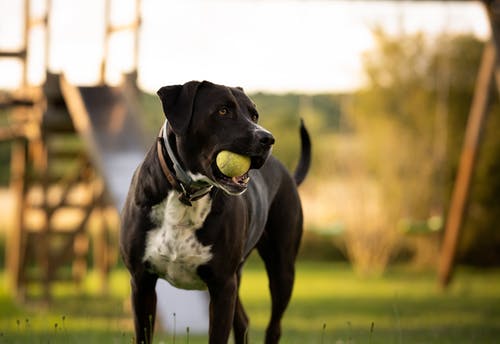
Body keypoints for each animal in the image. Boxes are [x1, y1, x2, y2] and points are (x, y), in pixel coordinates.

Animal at [120, 81, 308, 344]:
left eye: (254, 115)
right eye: (222, 111)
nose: (268, 138)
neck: (186, 194)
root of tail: (288, 174)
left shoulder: (222, 286)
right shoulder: (141, 283)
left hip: (282, 269)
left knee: (274, 327)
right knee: (243, 322)